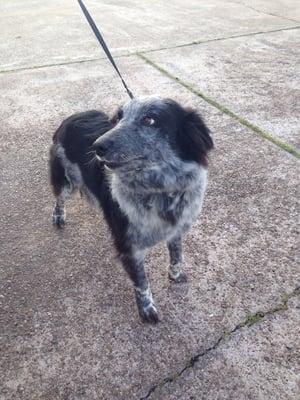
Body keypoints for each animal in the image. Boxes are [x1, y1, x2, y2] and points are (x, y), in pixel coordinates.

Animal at [49, 96, 213, 322]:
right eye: (119, 118)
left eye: (149, 120)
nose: (97, 146)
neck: (160, 190)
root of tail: (71, 117)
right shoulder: (129, 247)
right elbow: (141, 282)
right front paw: (147, 309)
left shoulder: (175, 230)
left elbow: (177, 256)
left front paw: (176, 276)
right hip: (67, 179)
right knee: (59, 198)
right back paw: (58, 216)